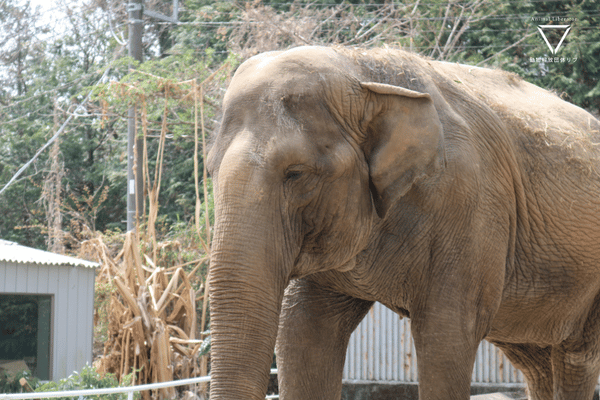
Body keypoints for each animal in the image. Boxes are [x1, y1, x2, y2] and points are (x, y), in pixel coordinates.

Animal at [205, 47, 600, 400]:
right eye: (209, 170)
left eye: (296, 173)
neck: (361, 70)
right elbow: (303, 329)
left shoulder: (472, 206)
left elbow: (447, 333)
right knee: (538, 362)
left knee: (575, 359)